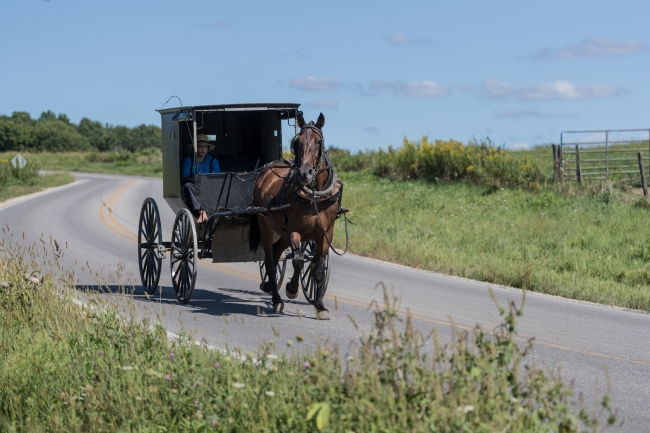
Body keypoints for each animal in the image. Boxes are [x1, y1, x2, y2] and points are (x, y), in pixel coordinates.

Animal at [247, 113, 342, 318]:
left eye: (319, 141)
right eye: (296, 142)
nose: (305, 173)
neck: (315, 195)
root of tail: (266, 169)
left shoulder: (326, 233)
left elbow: (319, 268)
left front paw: (320, 305)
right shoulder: (295, 230)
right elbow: (298, 261)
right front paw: (292, 289)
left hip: (282, 233)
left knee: (276, 254)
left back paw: (269, 286)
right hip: (266, 226)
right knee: (269, 260)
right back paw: (276, 299)